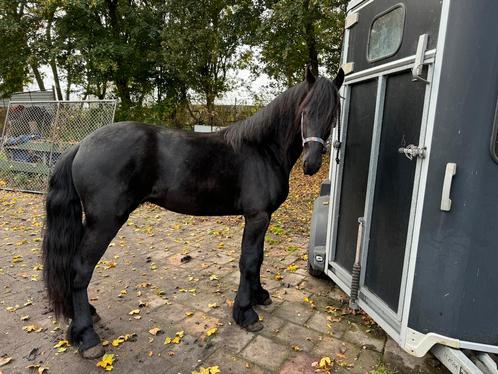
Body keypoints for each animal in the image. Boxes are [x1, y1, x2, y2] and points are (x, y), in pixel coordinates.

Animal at [42, 65, 342, 358]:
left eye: (333, 115)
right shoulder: (257, 216)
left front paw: (260, 296)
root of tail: (81, 145)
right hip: (104, 223)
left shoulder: (264, 217)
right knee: (80, 269)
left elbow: (258, 259)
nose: (312, 164)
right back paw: (87, 336)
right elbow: (249, 261)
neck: (262, 150)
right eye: (305, 111)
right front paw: (246, 313)